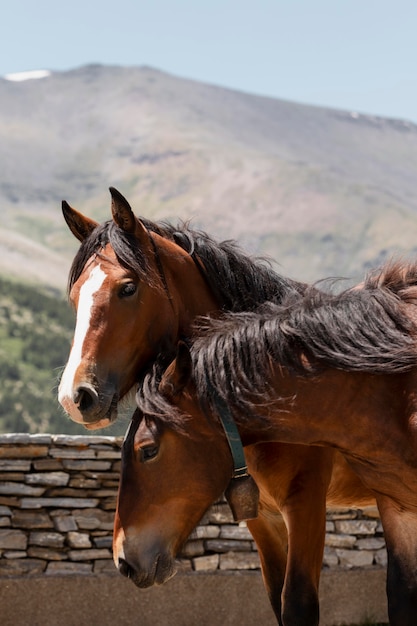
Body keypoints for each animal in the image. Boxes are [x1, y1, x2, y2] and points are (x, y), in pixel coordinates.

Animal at [59, 186, 380, 624]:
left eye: (127, 288)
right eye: (76, 296)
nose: (75, 396)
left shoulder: (306, 505)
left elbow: (298, 604)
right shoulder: (265, 518)